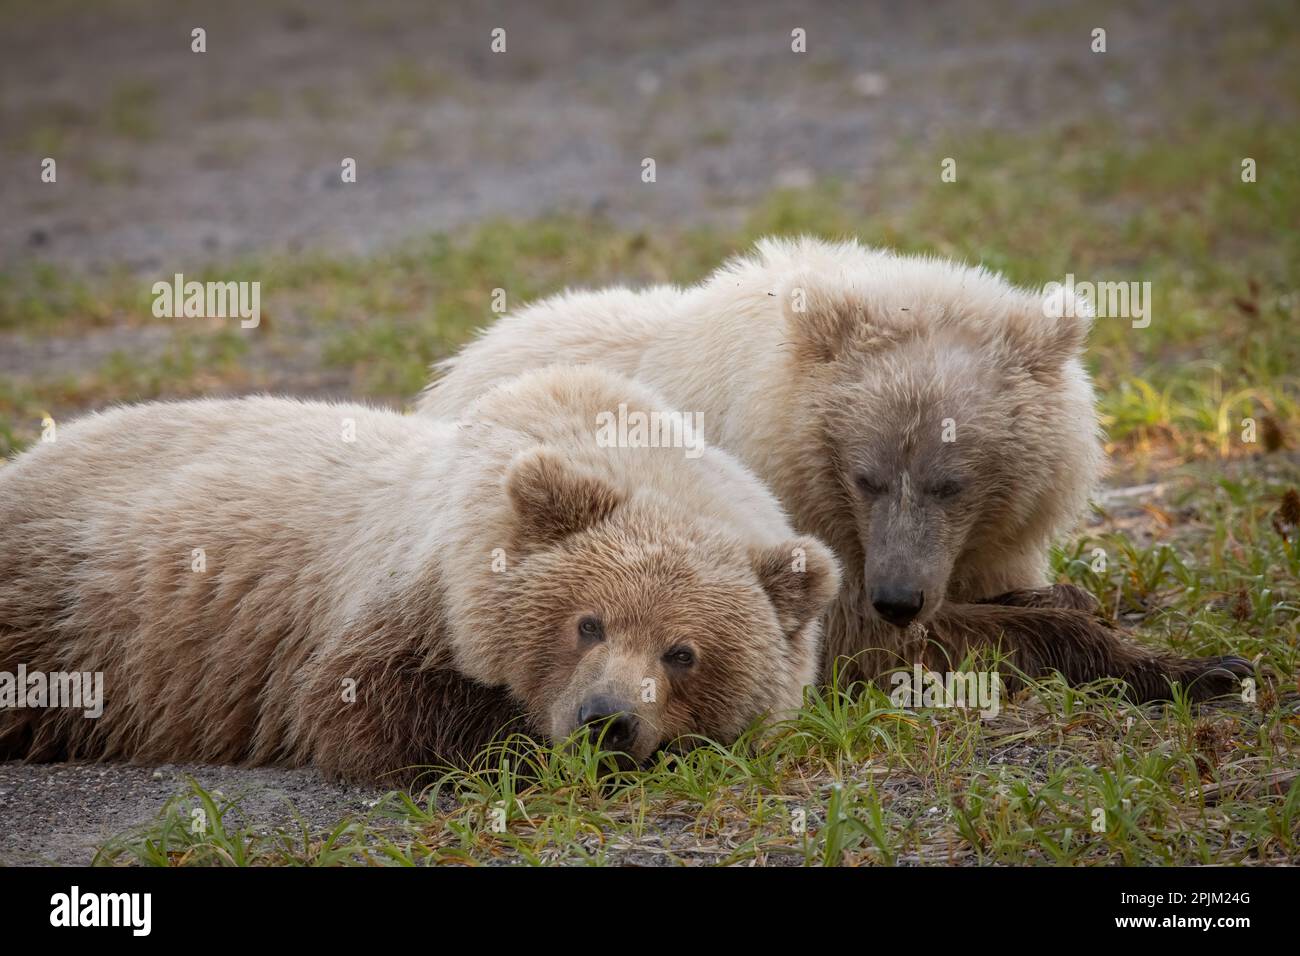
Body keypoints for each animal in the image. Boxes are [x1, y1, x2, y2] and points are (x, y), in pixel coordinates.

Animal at [0, 366, 840, 781]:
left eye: (683, 651)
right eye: (588, 622)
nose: (606, 720)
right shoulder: (405, 595)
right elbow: (363, 710)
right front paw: (513, 745)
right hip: (62, 606)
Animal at [417, 237, 1251, 701]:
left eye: (953, 481)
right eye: (866, 475)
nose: (898, 596)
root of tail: (458, 360)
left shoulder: (980, 538)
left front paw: (1071, 601)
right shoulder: (795, 530)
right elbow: (873, 645)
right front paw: (1206, 668)